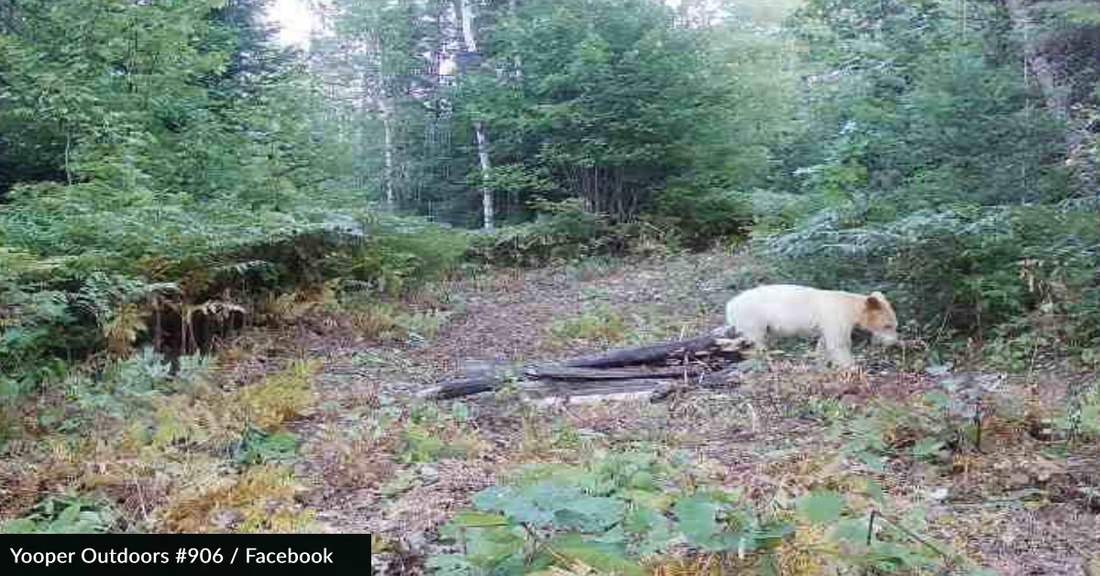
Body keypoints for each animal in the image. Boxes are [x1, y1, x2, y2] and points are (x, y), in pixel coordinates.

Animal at [726, 283, 897, 369]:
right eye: (887, 325)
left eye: (895, 325)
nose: (893, 342)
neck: (850, 307)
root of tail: (730, 305)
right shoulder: (835, 317)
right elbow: (838, 344)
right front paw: (852, 367)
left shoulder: (827, 323)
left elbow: (824, 342)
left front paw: (821, 362)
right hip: (753, 318)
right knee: (757, 340)